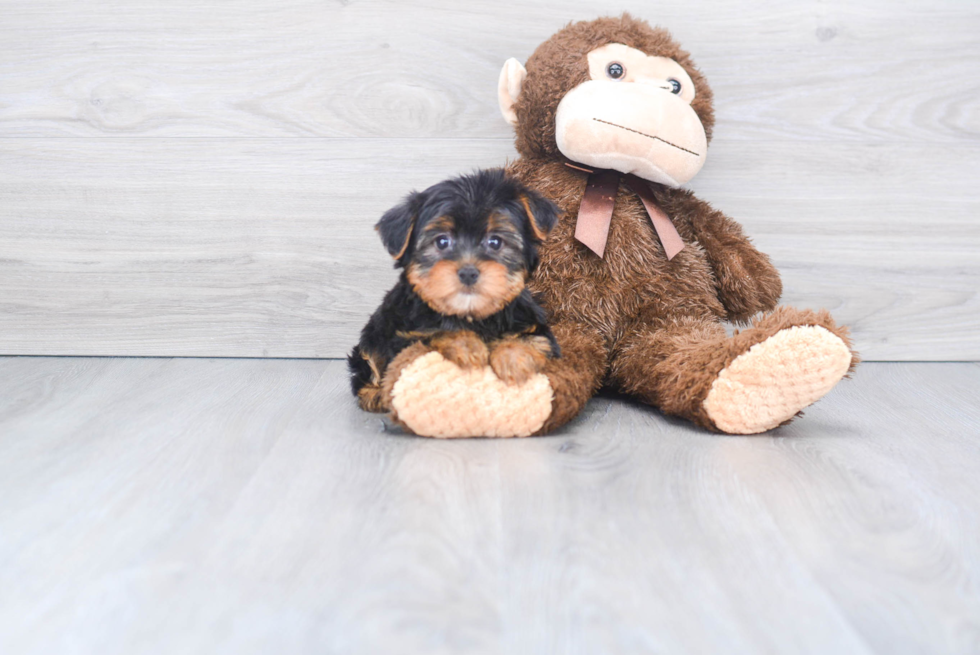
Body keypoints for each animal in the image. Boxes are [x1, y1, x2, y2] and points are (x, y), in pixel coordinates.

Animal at [348, 170, 564, 416]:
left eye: (495, 241)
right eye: (442, 241)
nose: (468, 272)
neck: (471, 315)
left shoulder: (534, 325)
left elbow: (534, 339)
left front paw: (513, 361)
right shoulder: (403, 336)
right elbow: (434, 334)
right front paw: (467, 345)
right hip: (374, 332)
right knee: (368, 361)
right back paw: (373, 394)